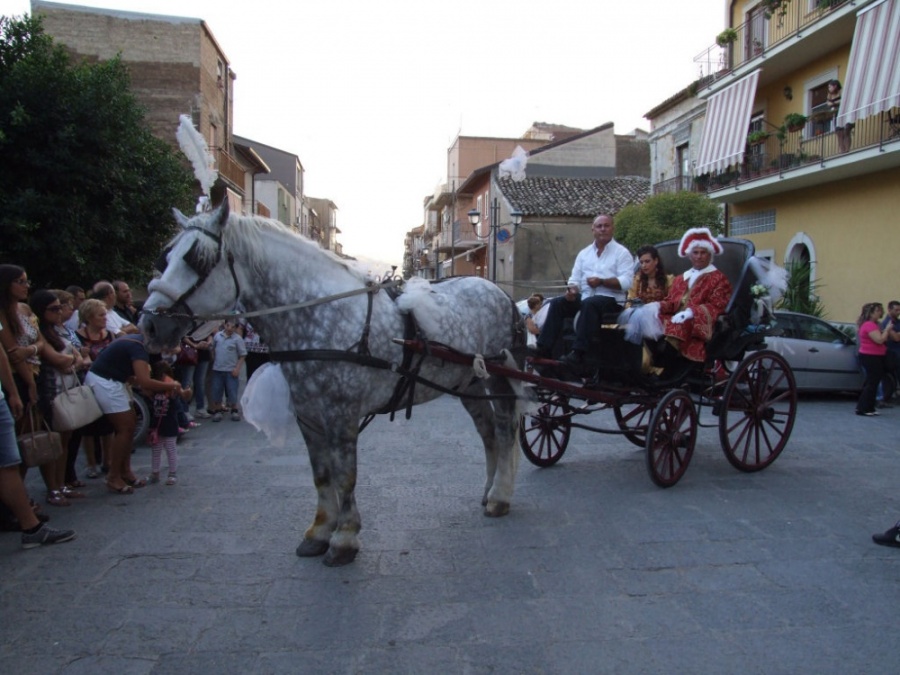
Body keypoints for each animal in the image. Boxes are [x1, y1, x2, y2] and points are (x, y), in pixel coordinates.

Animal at [142, 203, 528, 568]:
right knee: (488, 432)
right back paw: (489, 488)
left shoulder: (341, 415)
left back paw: (500, 496)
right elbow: (322, 475)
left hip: (497, 376)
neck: (319, 317)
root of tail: (500, 293)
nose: (149, 324)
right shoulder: (308, 417)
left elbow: (345, 476)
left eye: (198, 260)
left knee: (505, 429)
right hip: (470, 383)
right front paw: (319, 532)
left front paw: (344, 539)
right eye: (165, 257)